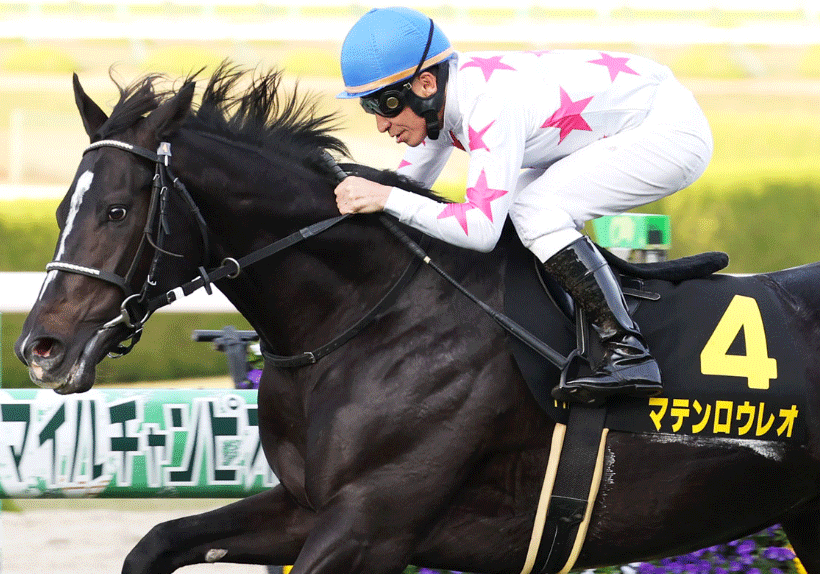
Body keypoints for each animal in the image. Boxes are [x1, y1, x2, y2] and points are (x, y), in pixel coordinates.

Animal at [14, 65, 820, 574]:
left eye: (118, 211)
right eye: (59, 210)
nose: (40, 348)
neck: (365, 315)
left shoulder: (373, 521)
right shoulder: (307, 506)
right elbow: (155, 542)